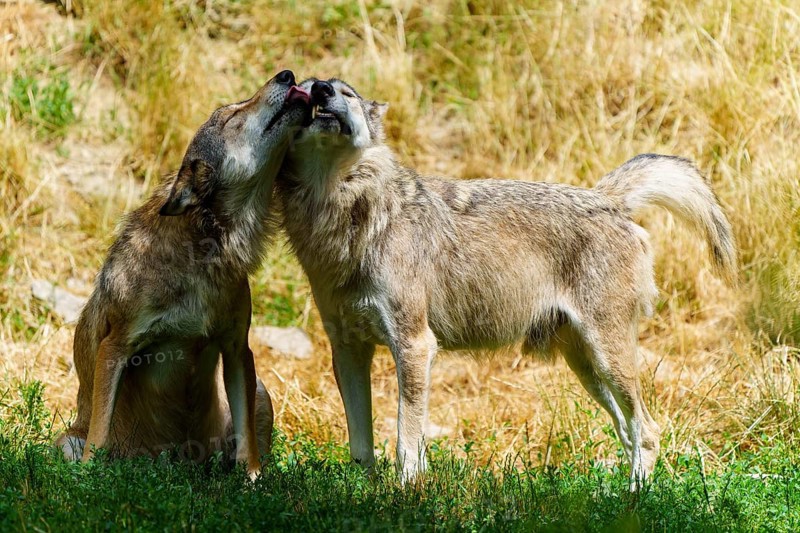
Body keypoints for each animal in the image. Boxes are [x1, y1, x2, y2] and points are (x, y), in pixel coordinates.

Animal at [54, 70, 311, 479]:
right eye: (232, 116)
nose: (287, 74)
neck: (204, 252)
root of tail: (181, 463)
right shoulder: (116, 346)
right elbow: (97, 438)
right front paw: (89, 479)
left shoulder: (237, 348)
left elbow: (248, 450)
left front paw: (253, 481)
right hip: (66, 442)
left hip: (260, 391)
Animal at [274, 78, 737, 486]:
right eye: (308, 88)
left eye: (345, 92)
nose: (322, 91)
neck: (344, 212)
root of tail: (607, 199)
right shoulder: (348, 350)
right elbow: (360, 446)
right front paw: (363, 498)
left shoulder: (415, 345)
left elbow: (408, 439)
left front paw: (407, 494)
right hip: (586, 366)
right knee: (628, 431)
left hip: (608, 358)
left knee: (649, 431)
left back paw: (634, 501)